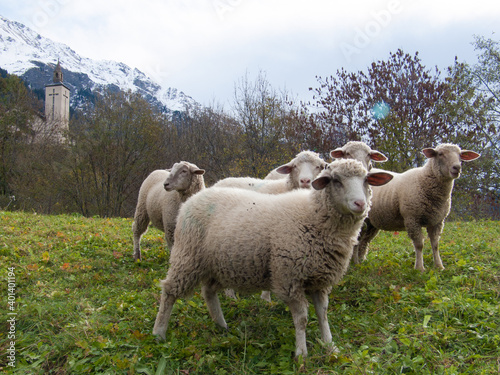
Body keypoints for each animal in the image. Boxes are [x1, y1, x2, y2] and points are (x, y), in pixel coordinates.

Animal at [152, 159, 394, 358]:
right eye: (336, 180)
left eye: (366, 179)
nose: (360, 204)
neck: (314, 217)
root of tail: (193, 199)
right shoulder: (290, 277)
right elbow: (302, 319)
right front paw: (301, 353)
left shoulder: (320, 279)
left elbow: (323, 314)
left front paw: (330, 346)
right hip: (188, 256)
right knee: (169, 291)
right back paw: (159, 333)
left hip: (217, 263)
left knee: (208, 292)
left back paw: (221, 325)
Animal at [352, 143, 480, 270]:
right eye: (440, 154)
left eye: (460, 155)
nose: (457, 167)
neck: (424, 179)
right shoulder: (412, 219)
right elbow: (419, 245)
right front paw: (419, 268)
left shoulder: (437, 221)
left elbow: (435, 244)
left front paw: (439, 266)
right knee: (358, 239)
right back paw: (355, 262)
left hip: (372, 223)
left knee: (365, 240)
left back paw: (361, 260)